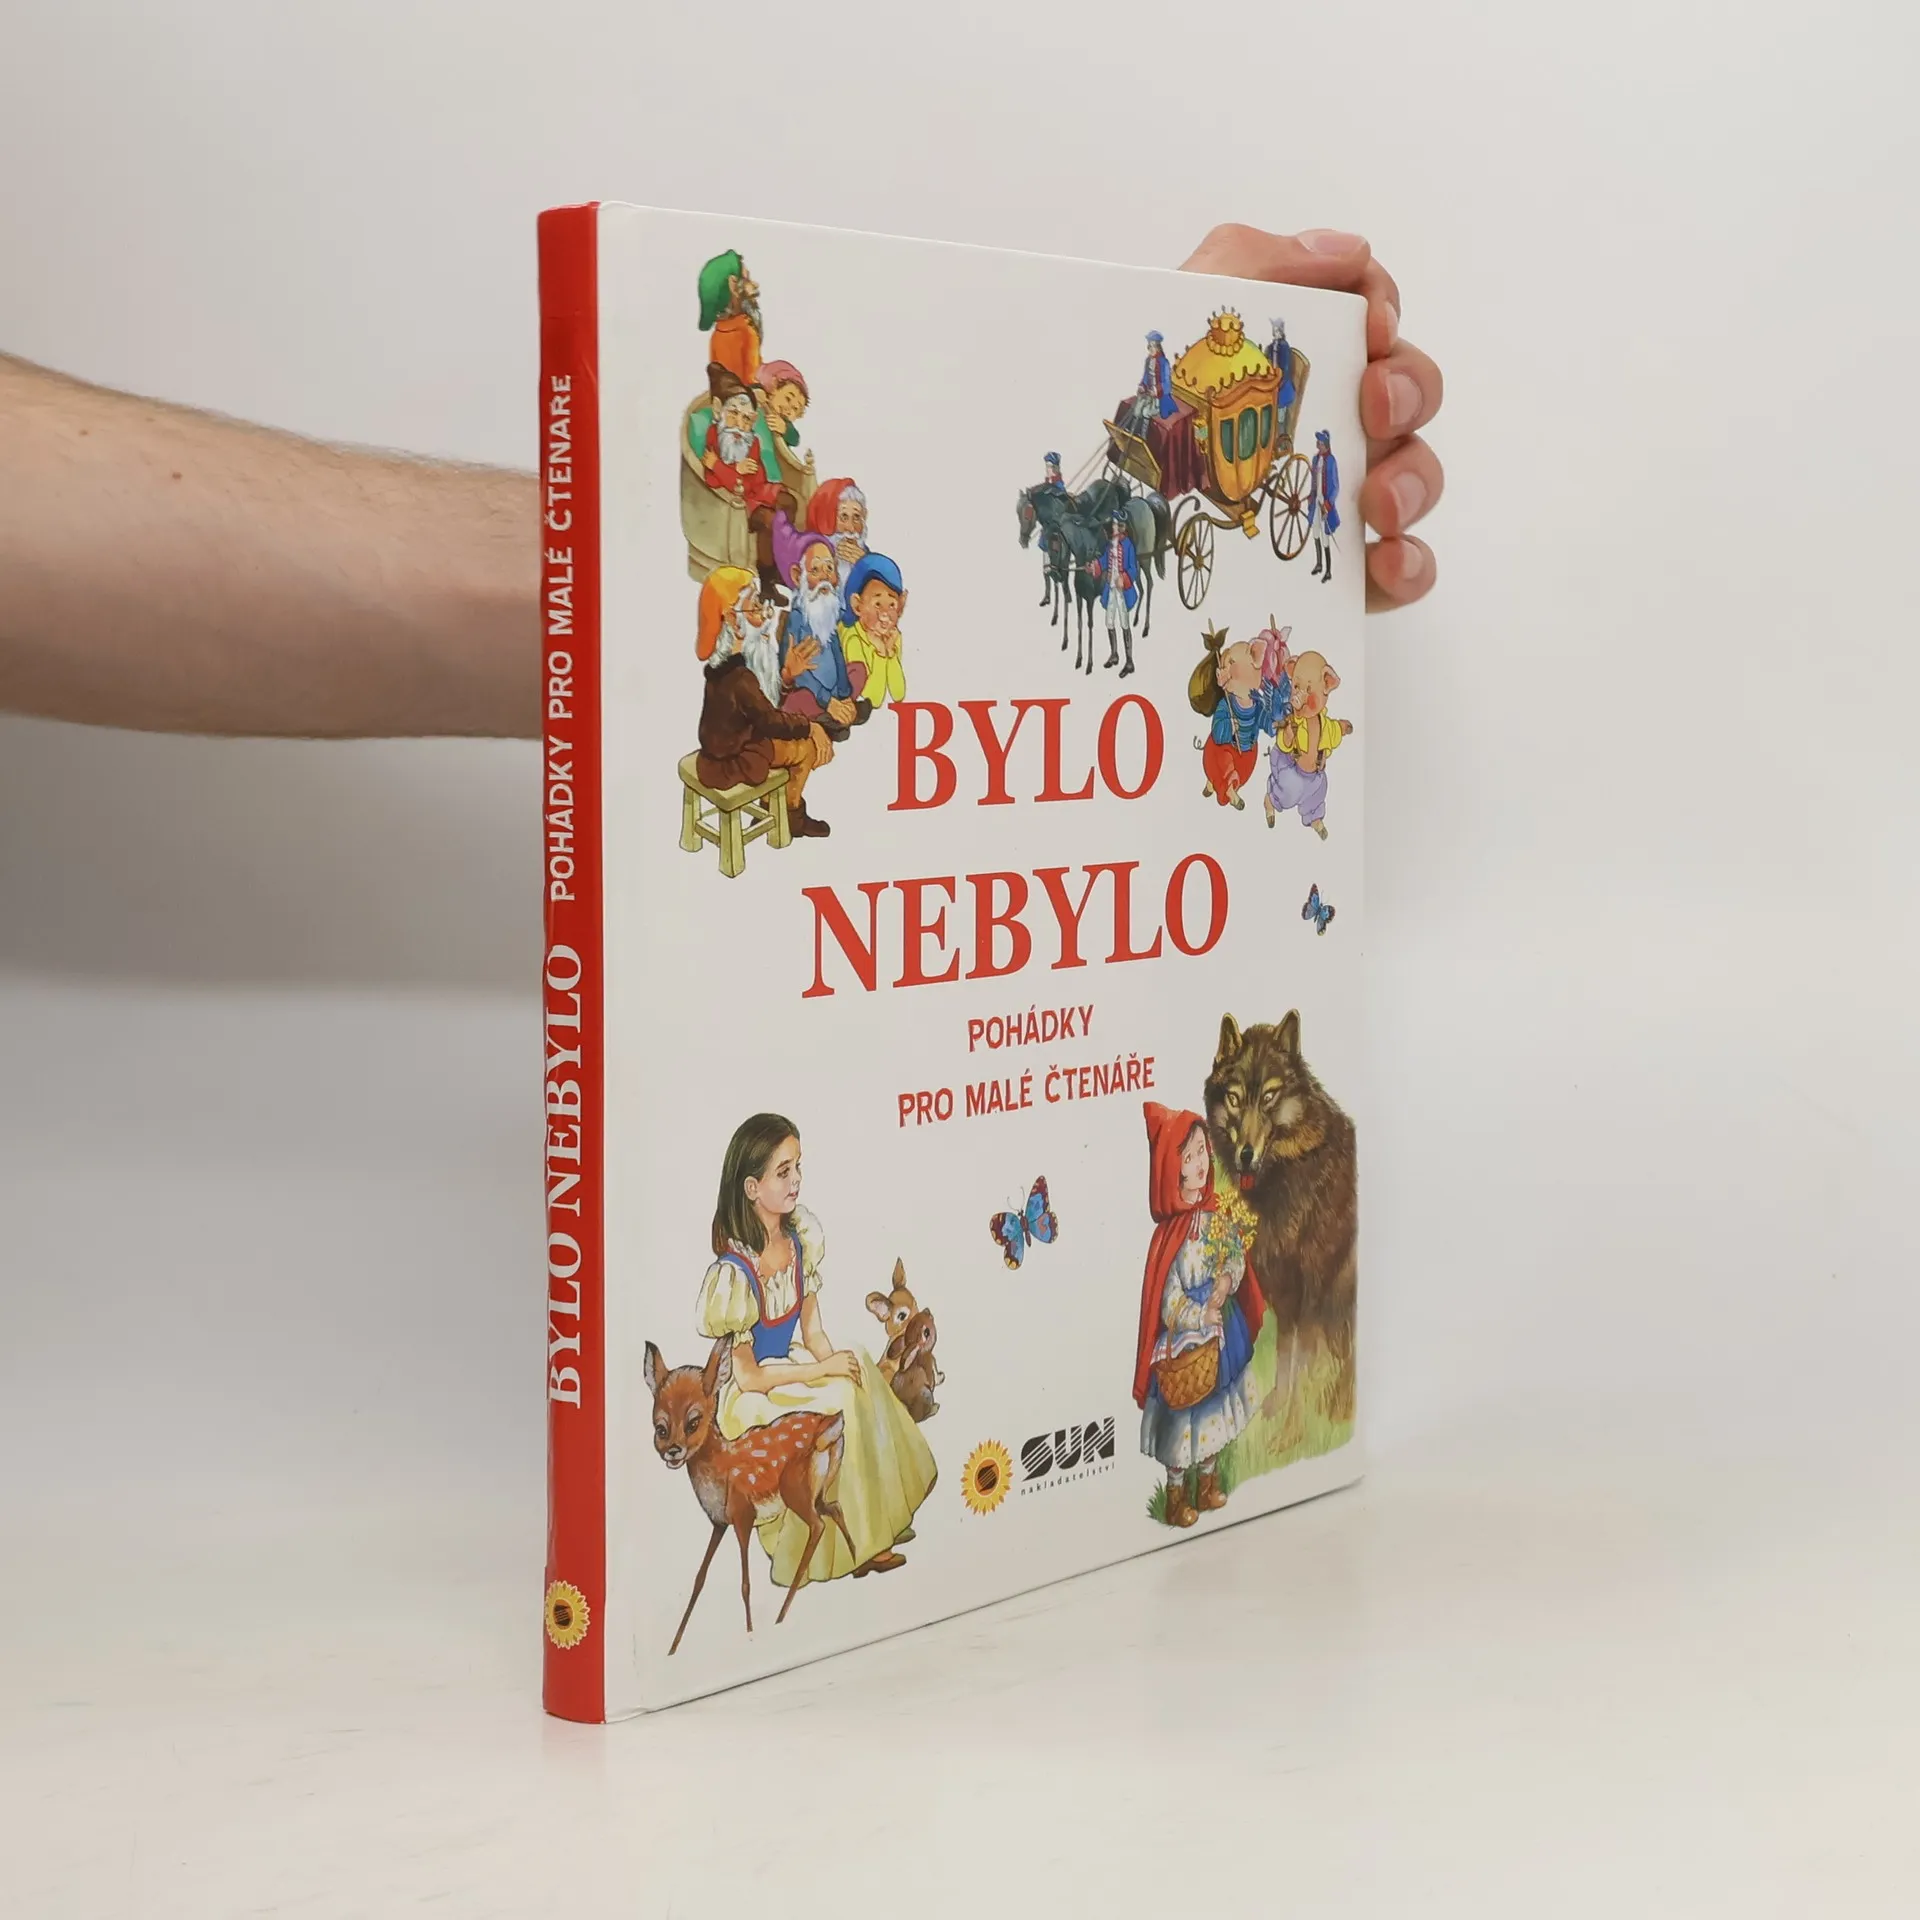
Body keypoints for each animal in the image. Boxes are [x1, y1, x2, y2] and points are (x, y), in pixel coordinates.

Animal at [1204, 1011, 1358, 1421]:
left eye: (1269, 1097)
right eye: (1235, 1098)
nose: (1245, 1155)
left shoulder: (1315, 1289)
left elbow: (1304, 1358)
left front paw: (1296, 1421)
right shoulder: (1284, 1294)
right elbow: (1287, 1356)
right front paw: (1280, 1408)